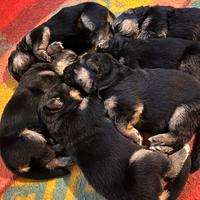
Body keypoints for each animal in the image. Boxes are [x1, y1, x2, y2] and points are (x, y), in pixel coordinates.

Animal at [38, 82, 191, 200]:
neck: (60, 115)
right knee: (171, 167)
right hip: (142, 157)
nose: (67, 81)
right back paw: (184, 150)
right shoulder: (90, 106)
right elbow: (92, 97)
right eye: (66, 86)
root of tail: (152, 197)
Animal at [63, 52, 200, 172]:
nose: (63, 70)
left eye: (75, 66)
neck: (112, 79)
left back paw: (160, 141)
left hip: (182, 111)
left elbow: (120, 124)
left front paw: (134, 135)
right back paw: (162, 148)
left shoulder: (130, 107)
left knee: (182, 137)